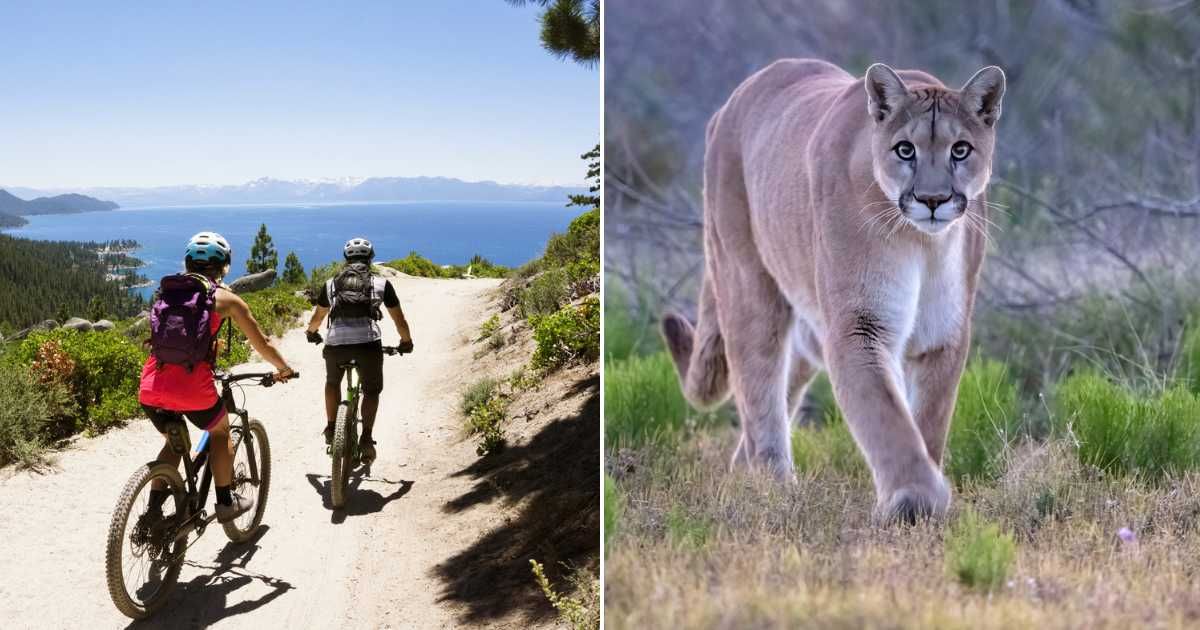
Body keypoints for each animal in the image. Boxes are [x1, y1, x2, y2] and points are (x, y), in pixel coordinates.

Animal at [661, 59, 1006, 522]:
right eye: (905, 150)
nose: (932, 199)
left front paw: (922, 500)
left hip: (808, 320)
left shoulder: (942, 334)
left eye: (961, 150)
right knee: (759, 389)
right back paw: (773, 486)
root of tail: (734, 99)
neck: (921, 242)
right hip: (748, 284)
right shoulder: (859, 326)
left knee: (786, 377)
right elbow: (886, 417)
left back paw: (744, 470)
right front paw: (915, 500)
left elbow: (928, 419)